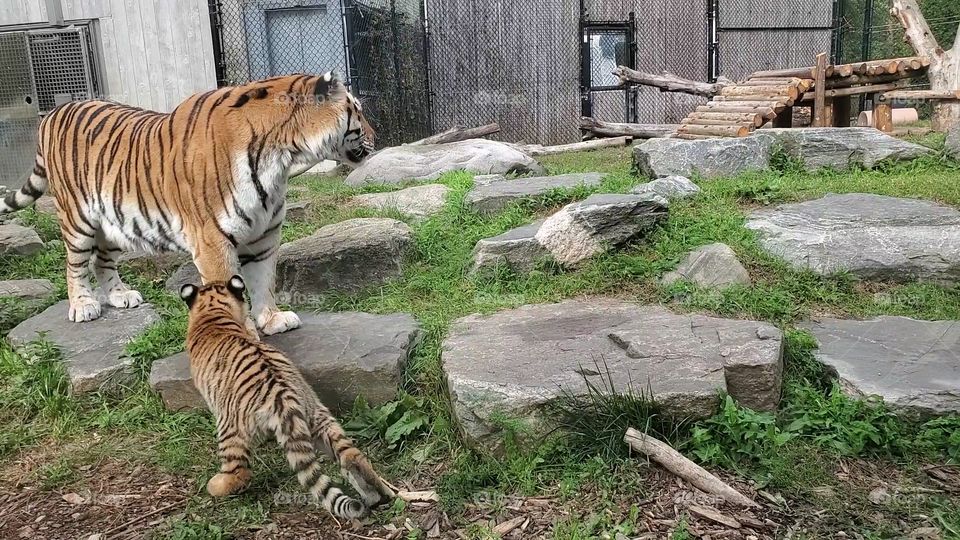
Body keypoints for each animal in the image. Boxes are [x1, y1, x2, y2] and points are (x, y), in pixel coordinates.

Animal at [0, 72, 372, 335]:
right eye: (357, 111)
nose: (375, 135)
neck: (282, 161)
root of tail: (55, 111)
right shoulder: (213, 241)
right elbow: (231, 290)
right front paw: (245, 336)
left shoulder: (264, 236)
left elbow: (264, 280)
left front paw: (271, 319)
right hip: (77, 219)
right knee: (75, 264)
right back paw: (83, 306)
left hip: (115, 219)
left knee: (102, 261)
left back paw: (121, 296)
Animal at [179, 275, 395, 519]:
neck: (214, 313)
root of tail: (283, 395)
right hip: (319, 417)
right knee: (351, 456)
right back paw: (378, 495)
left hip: (230, 426)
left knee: (240, 471)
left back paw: (217, 485)